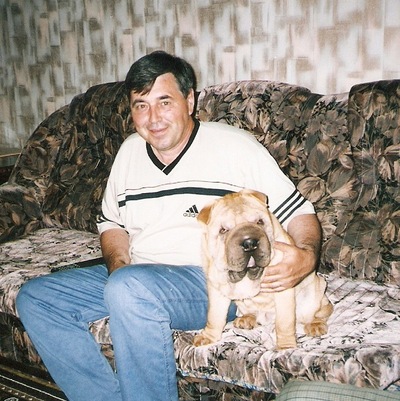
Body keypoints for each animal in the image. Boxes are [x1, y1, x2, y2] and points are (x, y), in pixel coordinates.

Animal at [193, 189, 333, 350]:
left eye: (259, 222)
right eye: (223, 230)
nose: (249, 243)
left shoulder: (283, 288)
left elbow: (284, 322)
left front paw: (286, 347)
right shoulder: (216, 287)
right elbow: (214, 316)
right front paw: (207, 337)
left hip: (315, 293)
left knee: (319, 312)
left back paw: (315, 325)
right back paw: (246, 319)